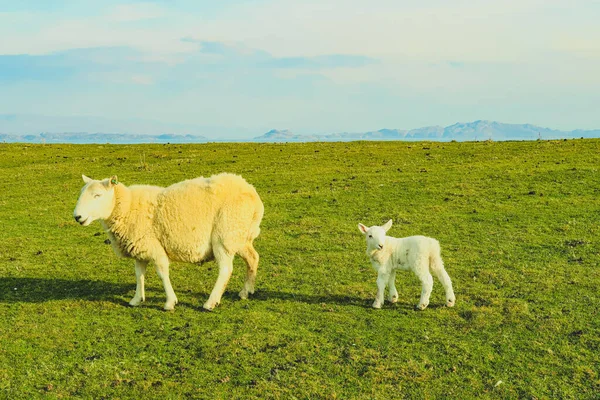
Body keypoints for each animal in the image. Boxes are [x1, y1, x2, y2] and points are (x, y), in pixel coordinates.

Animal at [72, 173, 262, 310]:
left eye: (97, 195)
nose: (77, 217)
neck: (127, 207)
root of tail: (252, 192)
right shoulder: (140, 248)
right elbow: (139, 275)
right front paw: (136, 299)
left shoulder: (154, 247)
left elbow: (162, 273)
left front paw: (170, 302)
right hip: (239, 235)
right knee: (253, 258)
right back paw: (246, 291)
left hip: (224, 234)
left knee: (226, 269)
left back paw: (211, 302)